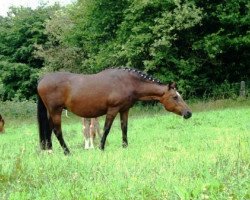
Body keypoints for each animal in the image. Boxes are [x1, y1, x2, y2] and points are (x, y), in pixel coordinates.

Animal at [37, 67, 192, 155]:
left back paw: (49, 150)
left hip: (52, 112)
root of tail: (42, 79)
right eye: (175, 97)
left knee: (49, 129)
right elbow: (106, 129)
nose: (188, 113)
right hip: (55, 111)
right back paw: (67, 152)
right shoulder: (113, 109)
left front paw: (125, 146)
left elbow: (124, 128)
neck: (127, 82)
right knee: (57, 130)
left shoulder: (124, 110)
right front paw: (101, 148)